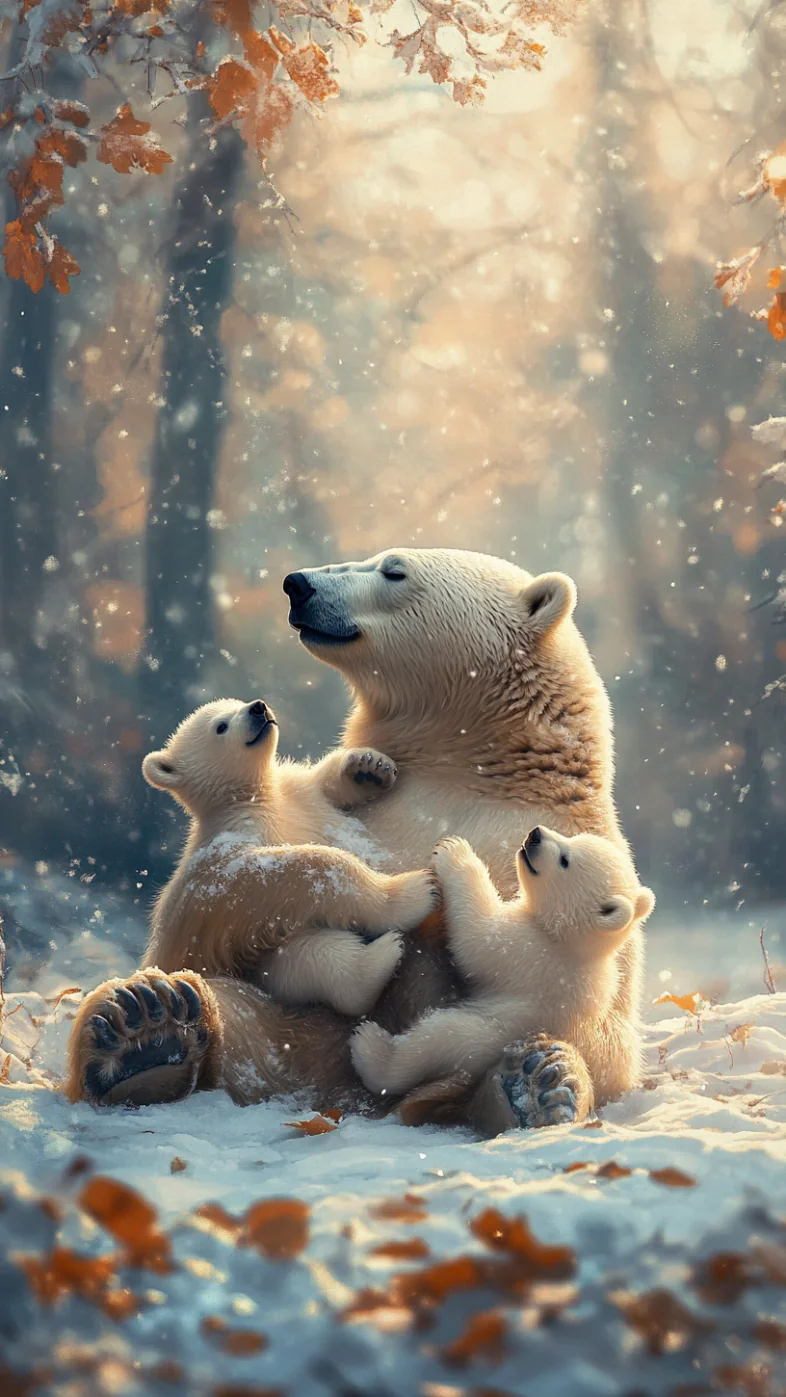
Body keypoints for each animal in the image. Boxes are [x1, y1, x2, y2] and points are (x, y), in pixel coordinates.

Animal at [63, 697, 436, 1106]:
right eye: (221, 726)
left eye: (237, 703)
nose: (258, 707)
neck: (254, 798)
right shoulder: (232, 848)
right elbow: (278, 872)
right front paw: (414, 891)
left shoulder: (296, 795)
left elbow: (319, 784)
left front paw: (369, 767)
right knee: (299, 958)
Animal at [351, 827, 655, 1111]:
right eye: (573, 837)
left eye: (565, 860)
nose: (535, 835)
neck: (570, 942)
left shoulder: (531, 953)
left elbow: (478, 939)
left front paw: (453, 851)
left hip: (488, 1036)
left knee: (438, 1039)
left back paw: (370, 1047)